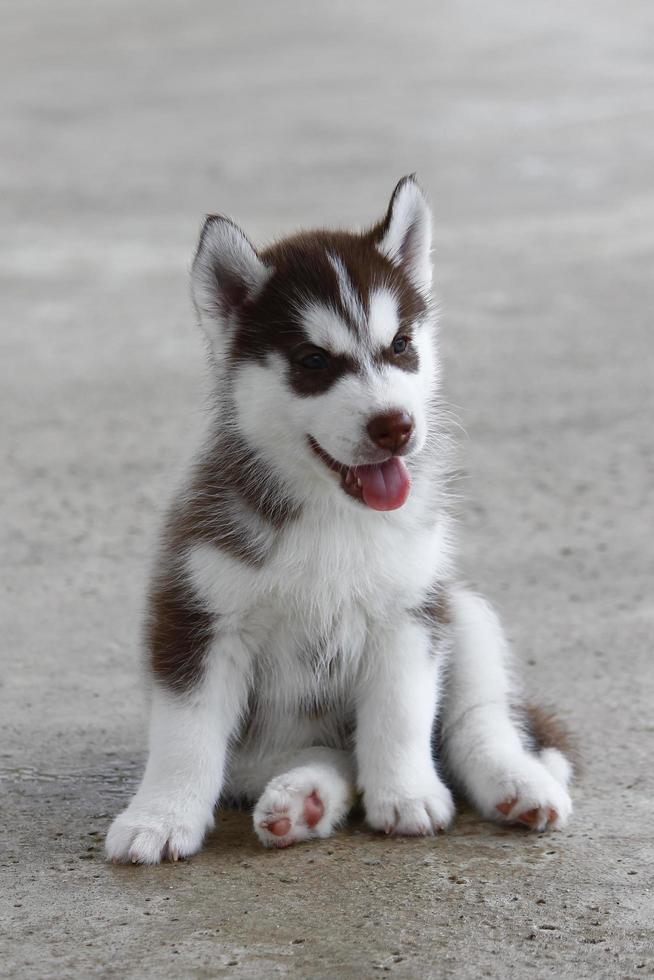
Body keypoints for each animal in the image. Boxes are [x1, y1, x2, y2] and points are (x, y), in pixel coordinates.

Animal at [106, 178, 576, 864]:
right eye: (312, 361)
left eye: (401, 345)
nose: (395, 426)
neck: (334, 514)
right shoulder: (197, 612)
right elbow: (186, 735)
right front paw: (160, 817)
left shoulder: (409, 613)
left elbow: (402, 716)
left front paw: (407, 795)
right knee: (316, 757)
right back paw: (303, 800)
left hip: (462, 610)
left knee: (476, 718)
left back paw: (516, 782)